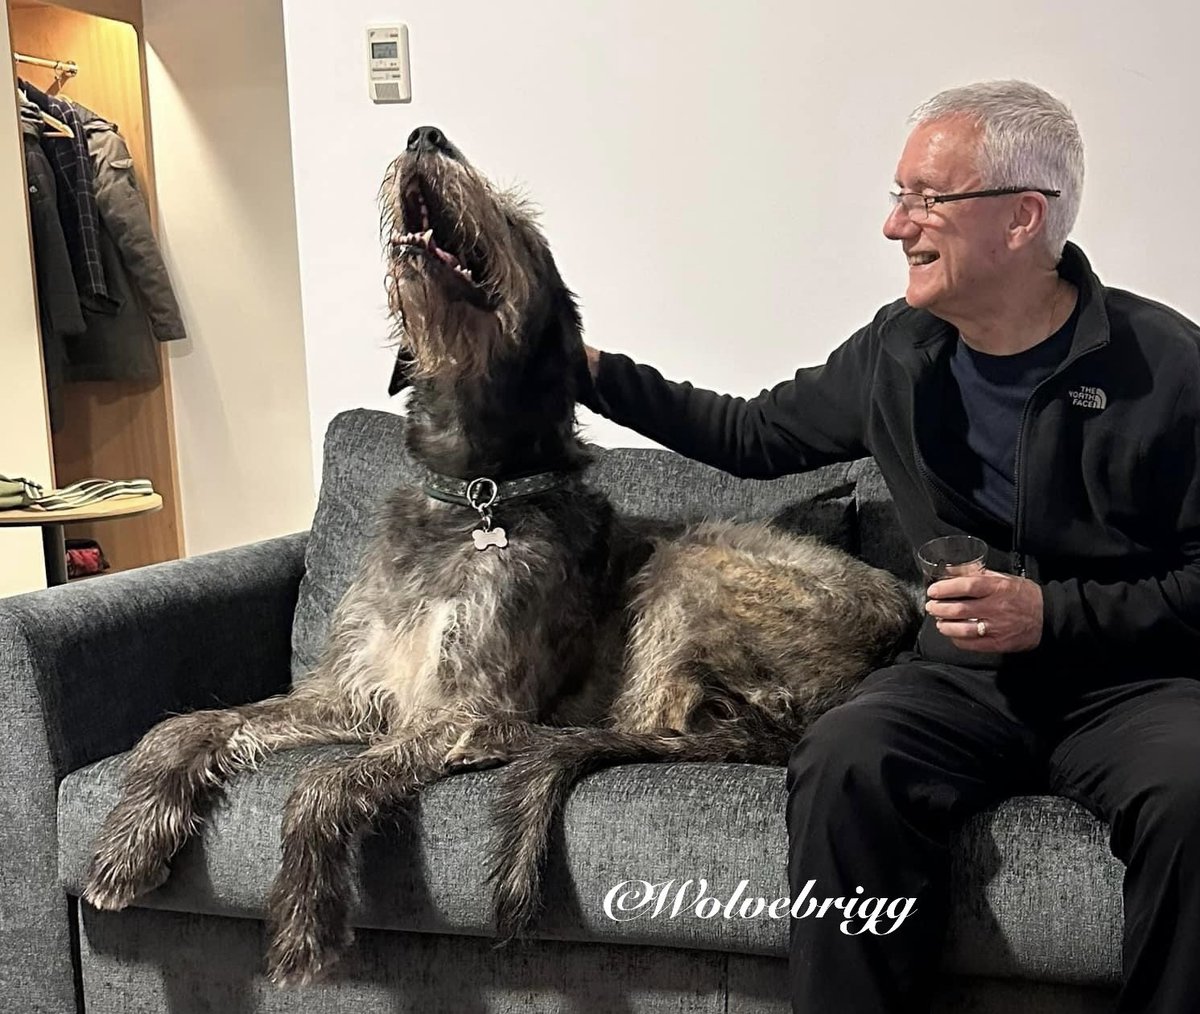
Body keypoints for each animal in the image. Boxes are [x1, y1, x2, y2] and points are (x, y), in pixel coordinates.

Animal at [79, 124, 912, 979]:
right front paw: (124, 846)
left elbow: (324, 778)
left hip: (686, 567)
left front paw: (306, 917)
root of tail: (895, 627)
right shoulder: (352, 691)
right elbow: (188, 725)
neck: (474, 494)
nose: (425, 134)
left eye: (519, 227)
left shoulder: (466, 707)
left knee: (623, 727)